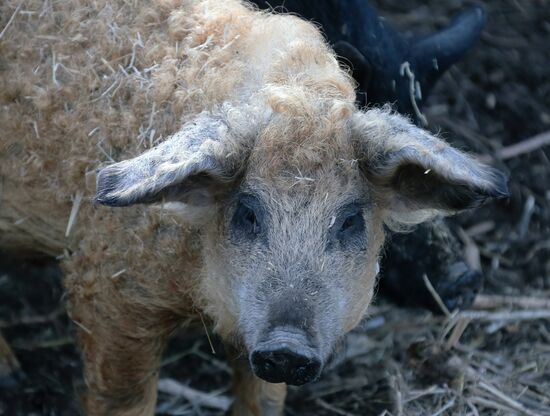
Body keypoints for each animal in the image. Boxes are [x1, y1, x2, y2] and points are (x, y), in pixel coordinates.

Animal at [0, 0, 508, 414]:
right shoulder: (105, 288)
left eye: (350, 220)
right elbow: (123, 399)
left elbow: (262, 400)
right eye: (247, 213)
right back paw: (13, 377)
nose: (287, 346)